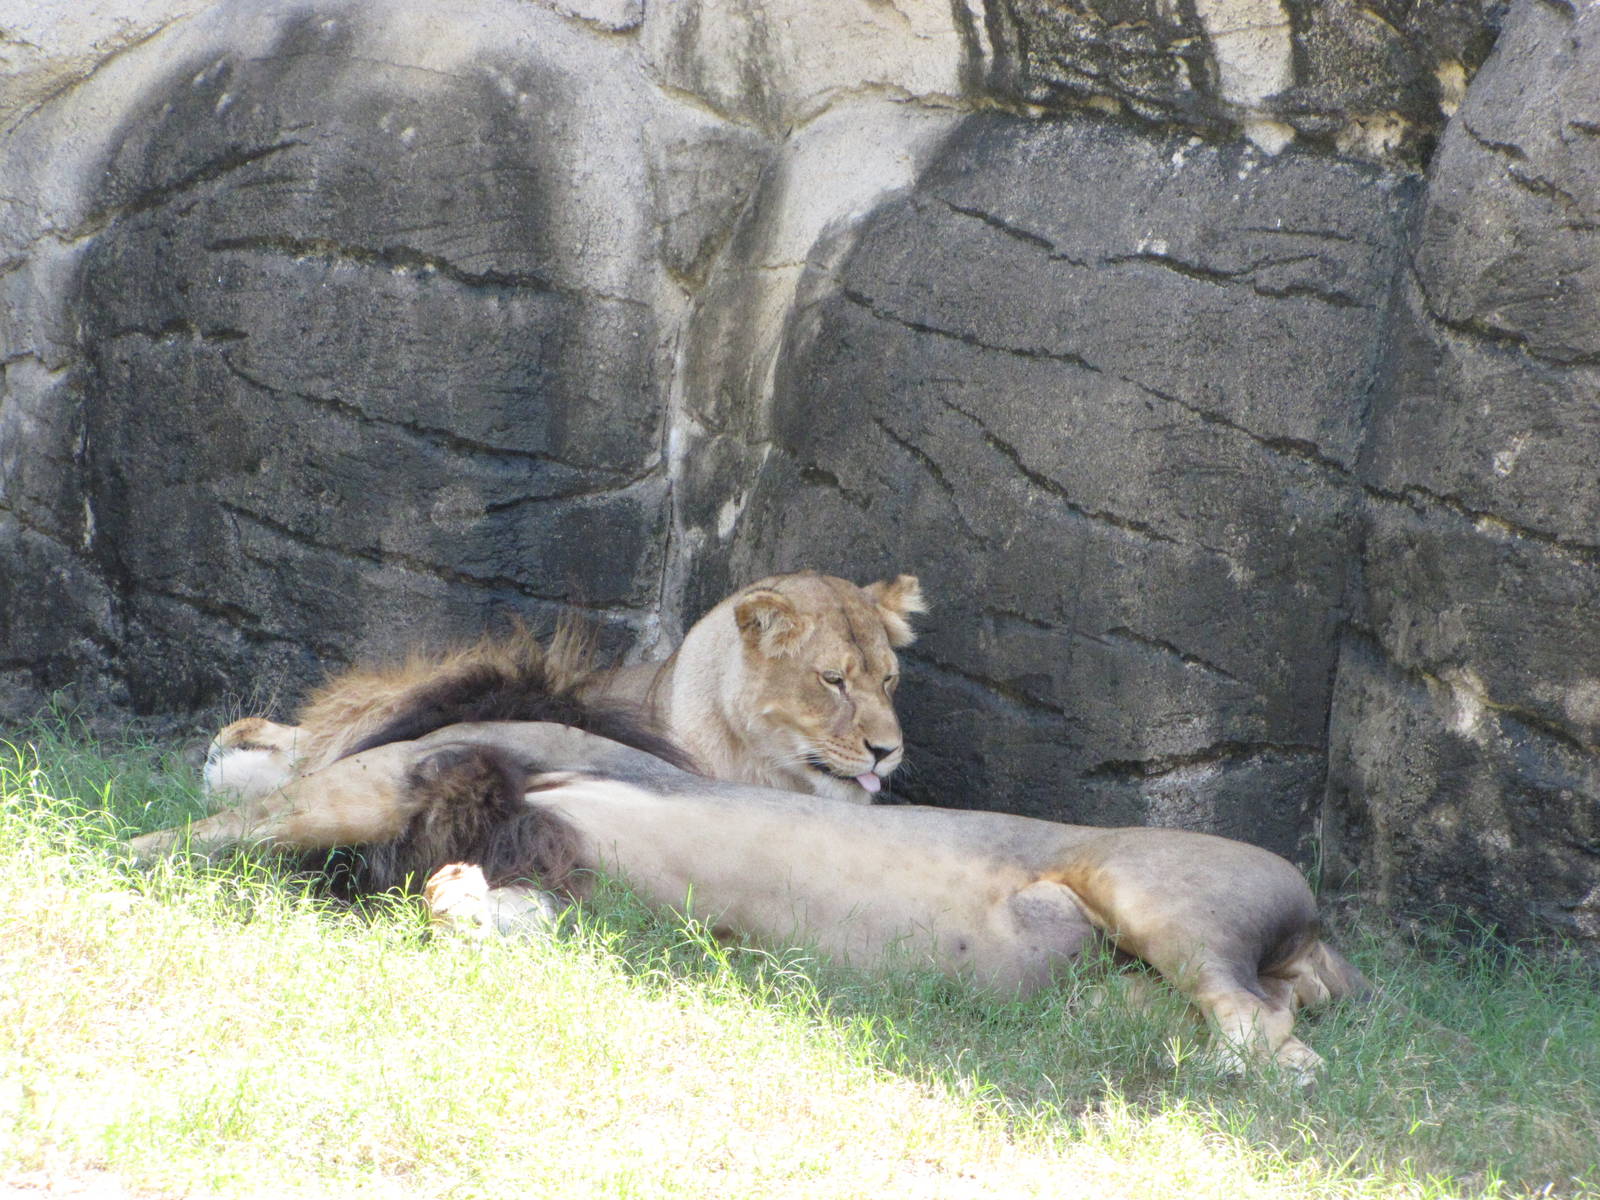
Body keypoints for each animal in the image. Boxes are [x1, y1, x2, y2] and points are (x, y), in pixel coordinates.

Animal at [131, 648, 1372, 1080]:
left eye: (266, 718)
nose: (224, 728)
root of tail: (1319, 940)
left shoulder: (425, 767)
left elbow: (240, 824)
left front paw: (118, 843)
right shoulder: (565, 879)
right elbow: (492, 910)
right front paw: (456, 903)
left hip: (1155, 892)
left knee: (1261, 1032)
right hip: (1114, 986)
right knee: (1267, 1027)